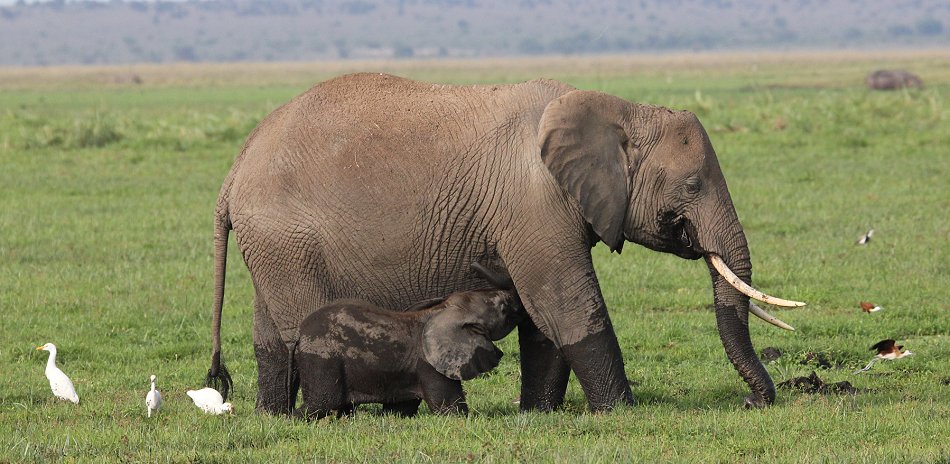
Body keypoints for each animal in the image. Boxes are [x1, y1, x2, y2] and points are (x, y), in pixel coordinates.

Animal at [296, 262, 524, 418]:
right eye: (504, 308)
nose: (473, 265)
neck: (442, 310)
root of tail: (300, 333)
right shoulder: (429, 365)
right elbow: (449, 408)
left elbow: (400, 409)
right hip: (322, 361)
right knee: (320, 405)